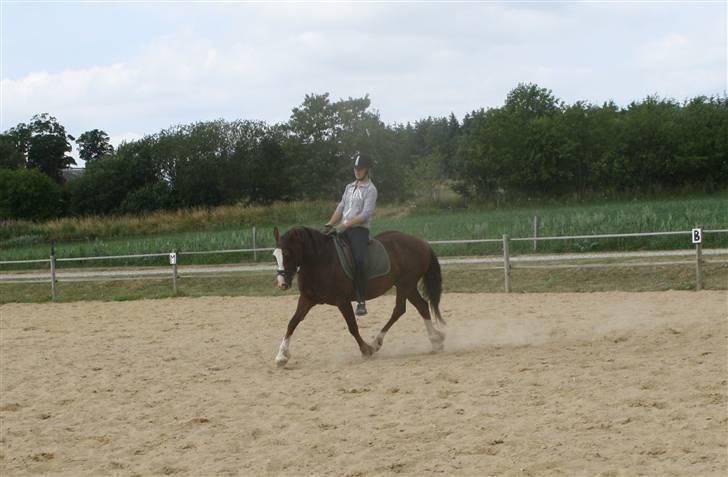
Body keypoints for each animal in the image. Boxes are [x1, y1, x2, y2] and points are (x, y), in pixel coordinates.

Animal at [272, 225, 444, 366]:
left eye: (287, 253)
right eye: (274, 255)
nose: (282, 284)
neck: (321, 261)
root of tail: (422, 243)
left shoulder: (342, 301)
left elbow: (352, 327)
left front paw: (366, 350)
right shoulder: (307, 299)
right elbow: (292, 322)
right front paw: (281, 356)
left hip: (405, 284)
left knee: (399, 309)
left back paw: (376, 343)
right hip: (408, 286)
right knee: (421, 306)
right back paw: (436, 340)